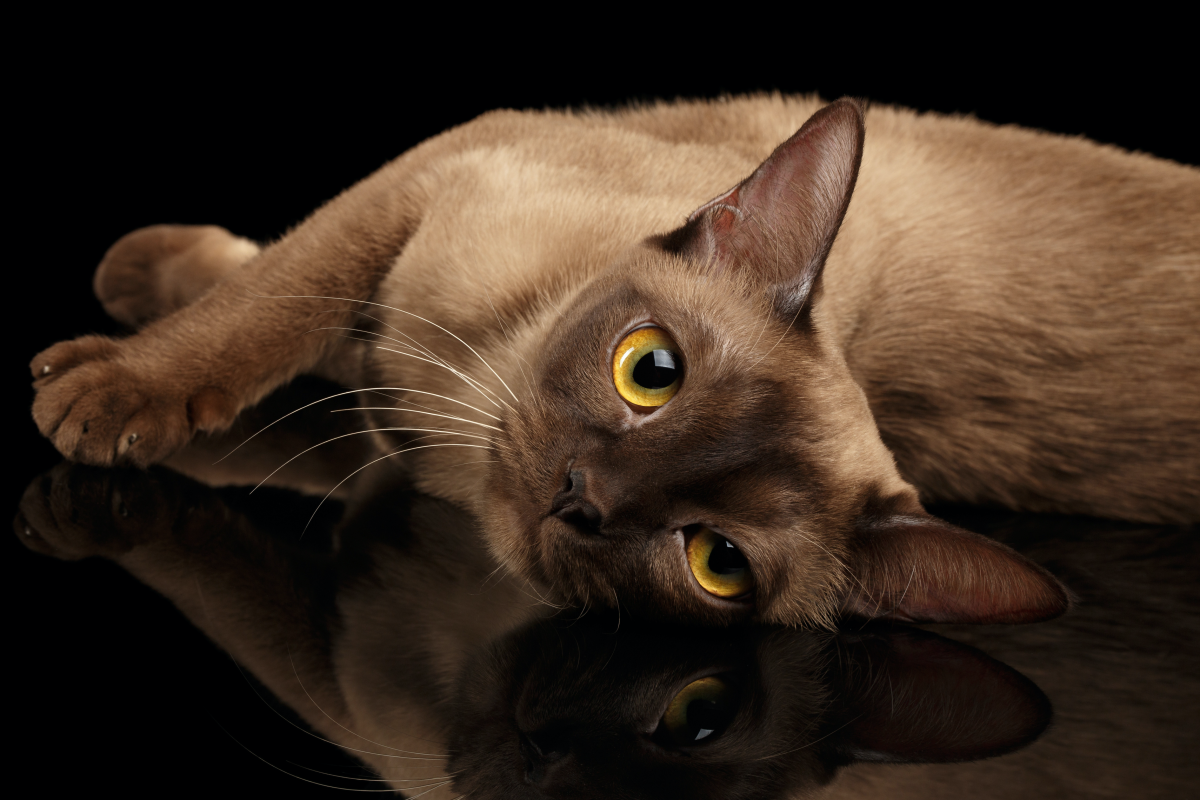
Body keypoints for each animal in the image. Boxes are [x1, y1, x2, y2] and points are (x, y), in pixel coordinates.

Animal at [30, 94, 1200, 628]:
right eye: (652, 371)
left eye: (716, 559)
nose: (580, 496)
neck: (454, 395)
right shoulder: (437, 171)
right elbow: (271, 297)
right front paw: (123, 336)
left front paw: (99, 392)